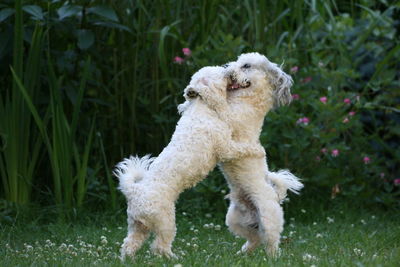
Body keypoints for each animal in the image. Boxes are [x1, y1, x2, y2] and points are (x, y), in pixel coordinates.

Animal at [114, 65, 266, 260]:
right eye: (220, 72)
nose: (229, 70)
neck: (202, 108)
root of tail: (134, 192)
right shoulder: (226, 148)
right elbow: (242, 148)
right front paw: (257, 150)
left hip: (138, 225)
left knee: (129, 244)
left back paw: (128, 259)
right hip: (165, 221)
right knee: (159, 245)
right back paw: (173, 258)